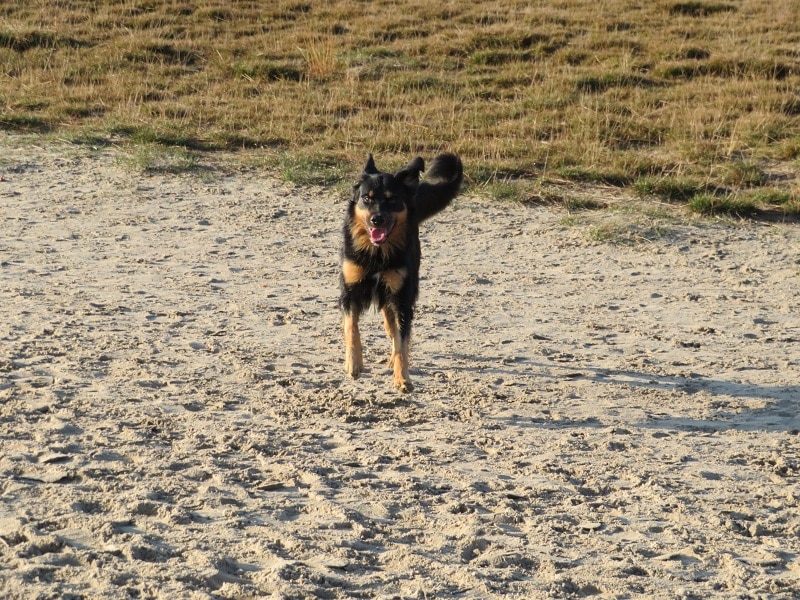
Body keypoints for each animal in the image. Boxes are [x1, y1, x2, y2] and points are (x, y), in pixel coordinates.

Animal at [338, 152, 462, 392]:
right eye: (367, 198)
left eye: (393, 199)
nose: (377, 219)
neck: (377, 254)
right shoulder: (350, 291)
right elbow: (351, 327)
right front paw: (354, 364)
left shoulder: (402, 297)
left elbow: (401, 343)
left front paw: (402, 378)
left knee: (395, 328)